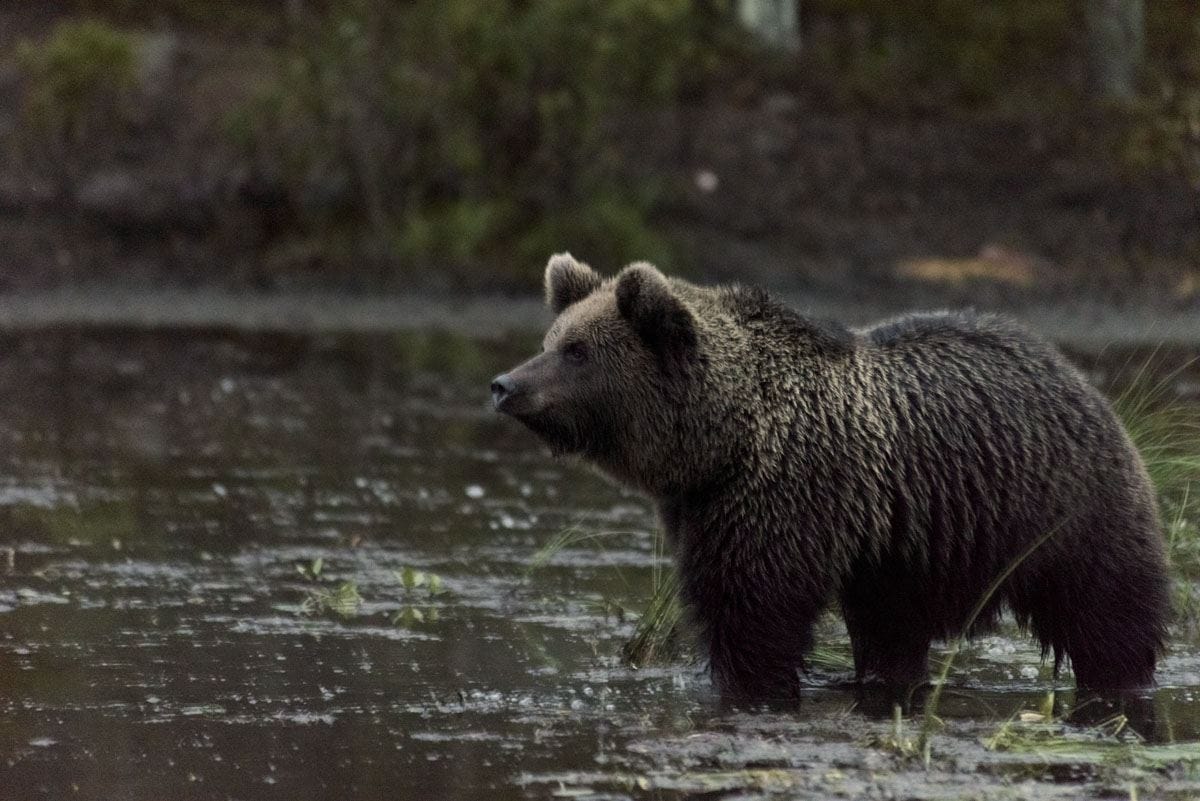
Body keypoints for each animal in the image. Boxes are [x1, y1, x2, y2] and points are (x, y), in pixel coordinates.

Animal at [489, 255, 1171, 700]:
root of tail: (1073, 373)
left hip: (1063, 510)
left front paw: (752, 684)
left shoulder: (778, 496)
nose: (505, 384)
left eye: (577, 351)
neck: (721, 440)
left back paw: (1121, 677)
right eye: (551, 338)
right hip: (910, 551)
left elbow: (753, 611)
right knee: (892, 630)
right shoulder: (700, 506)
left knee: (1107, 609)